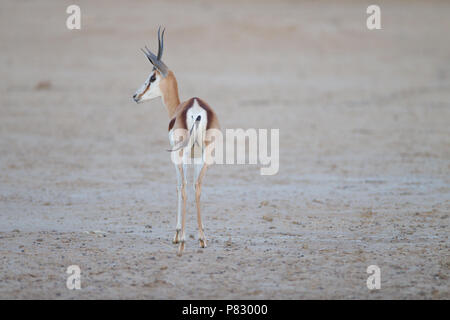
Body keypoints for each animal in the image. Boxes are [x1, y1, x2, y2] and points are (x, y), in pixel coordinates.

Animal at [132, 28, 220, 258]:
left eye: (152, 77)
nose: (135, 95)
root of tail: (196, 109)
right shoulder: (195, 153)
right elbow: (192, 183)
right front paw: (198, 235)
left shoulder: (175, 155)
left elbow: (179, 185)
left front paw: (177, 234)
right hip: (207, 152)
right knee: (197, 185)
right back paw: (202, 240)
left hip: (181, 153)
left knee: (186, 187)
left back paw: (182, 243)